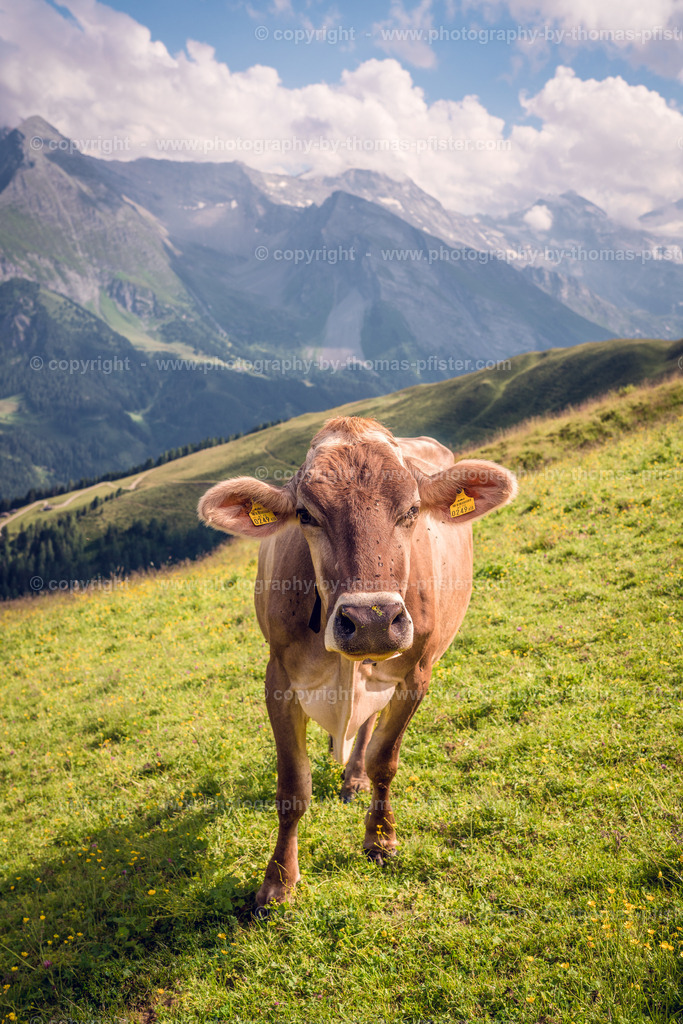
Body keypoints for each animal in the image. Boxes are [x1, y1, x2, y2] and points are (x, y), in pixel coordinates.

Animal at [198, 416, 517, 910]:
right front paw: (278, 882)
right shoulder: (279, 679)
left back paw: (355, 779)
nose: (372, 620)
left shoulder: (417, 674)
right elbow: (293, 788)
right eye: (306, 514)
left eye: (412, 509)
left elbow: (386, 759)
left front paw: (381, 839)